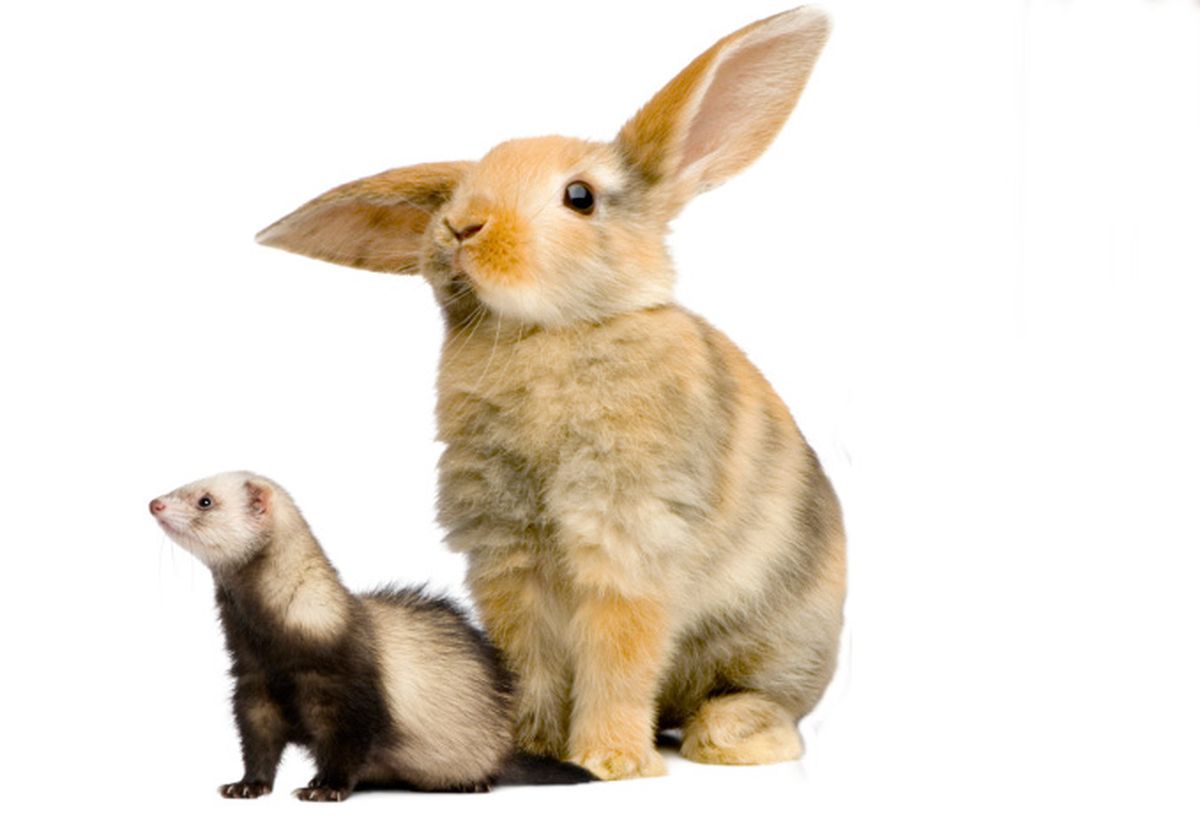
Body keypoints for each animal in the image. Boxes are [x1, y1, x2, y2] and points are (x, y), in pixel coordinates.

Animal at [256, 6, 845, 781]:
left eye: (580, 197)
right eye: (459, 192)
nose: (460, 226)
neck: (547, 333)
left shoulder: (625, 542)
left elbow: (619, 655)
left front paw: (608, 760)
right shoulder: (508, 556)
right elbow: (526, 657)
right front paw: (532, 745)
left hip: (779, 643)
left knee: (771, 707)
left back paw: (728, 738)